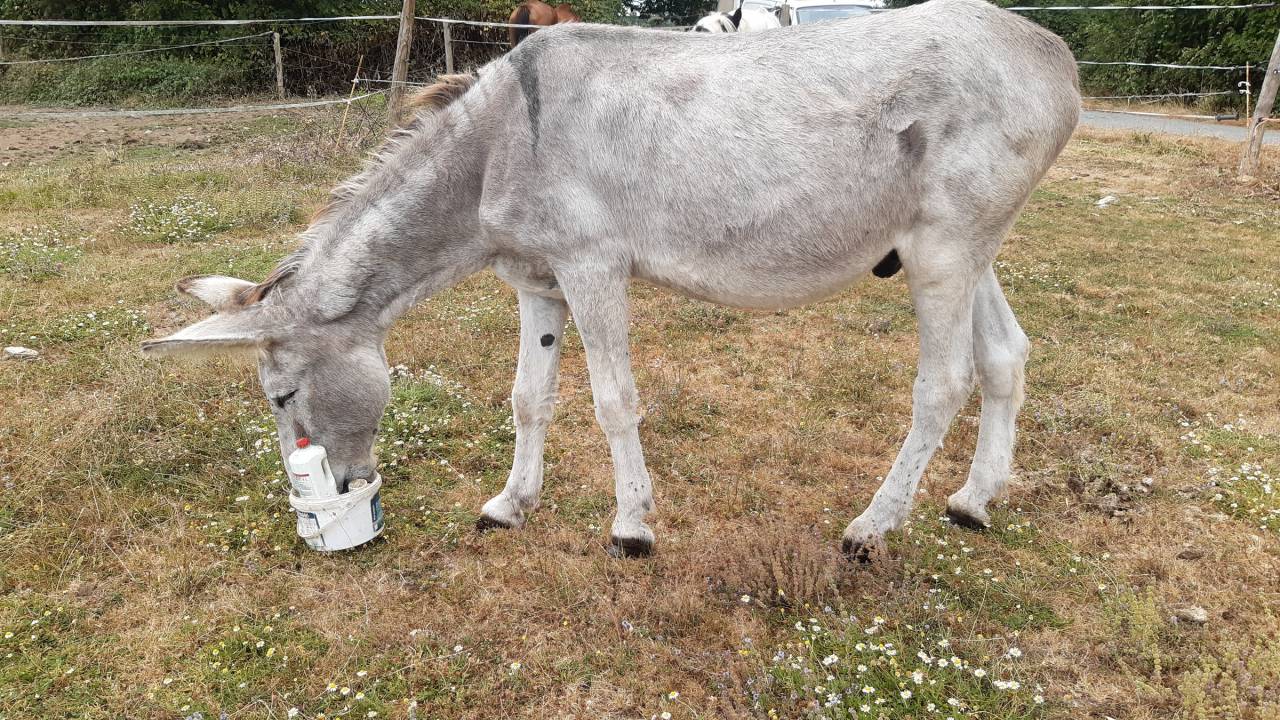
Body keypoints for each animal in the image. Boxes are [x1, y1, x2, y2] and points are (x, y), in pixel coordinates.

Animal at [143, 0, 1080, 561]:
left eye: (279, 396)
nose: (330, 500)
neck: (495, 148)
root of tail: (1047, 49)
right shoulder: (539, 284)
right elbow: (529, 398)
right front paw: (509, 504)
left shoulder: (593, 268)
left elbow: (611, 401)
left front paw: (631, 527)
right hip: (960, 249)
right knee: (1007, 357)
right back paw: (972, 501)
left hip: (944, 252)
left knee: (944, 382)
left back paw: (873, 526)